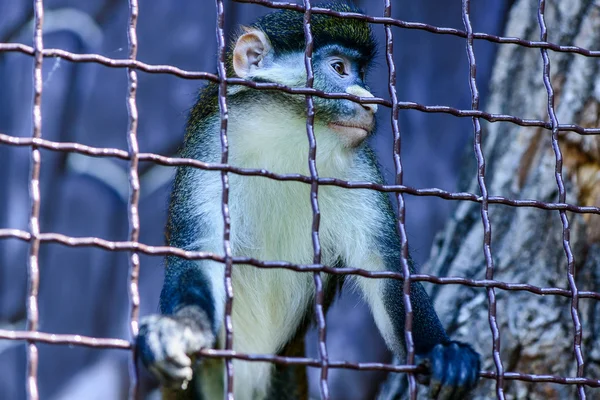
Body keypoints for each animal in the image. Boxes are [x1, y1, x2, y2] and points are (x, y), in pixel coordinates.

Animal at [136, 3, 478, 400]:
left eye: (361, 73)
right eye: (339, 68)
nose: (369, 102)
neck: (286, 137)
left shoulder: (359, 169)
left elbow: (385, 263)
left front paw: (441, 350)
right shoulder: (210, 151)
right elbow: (200, 251)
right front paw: (177, 330)